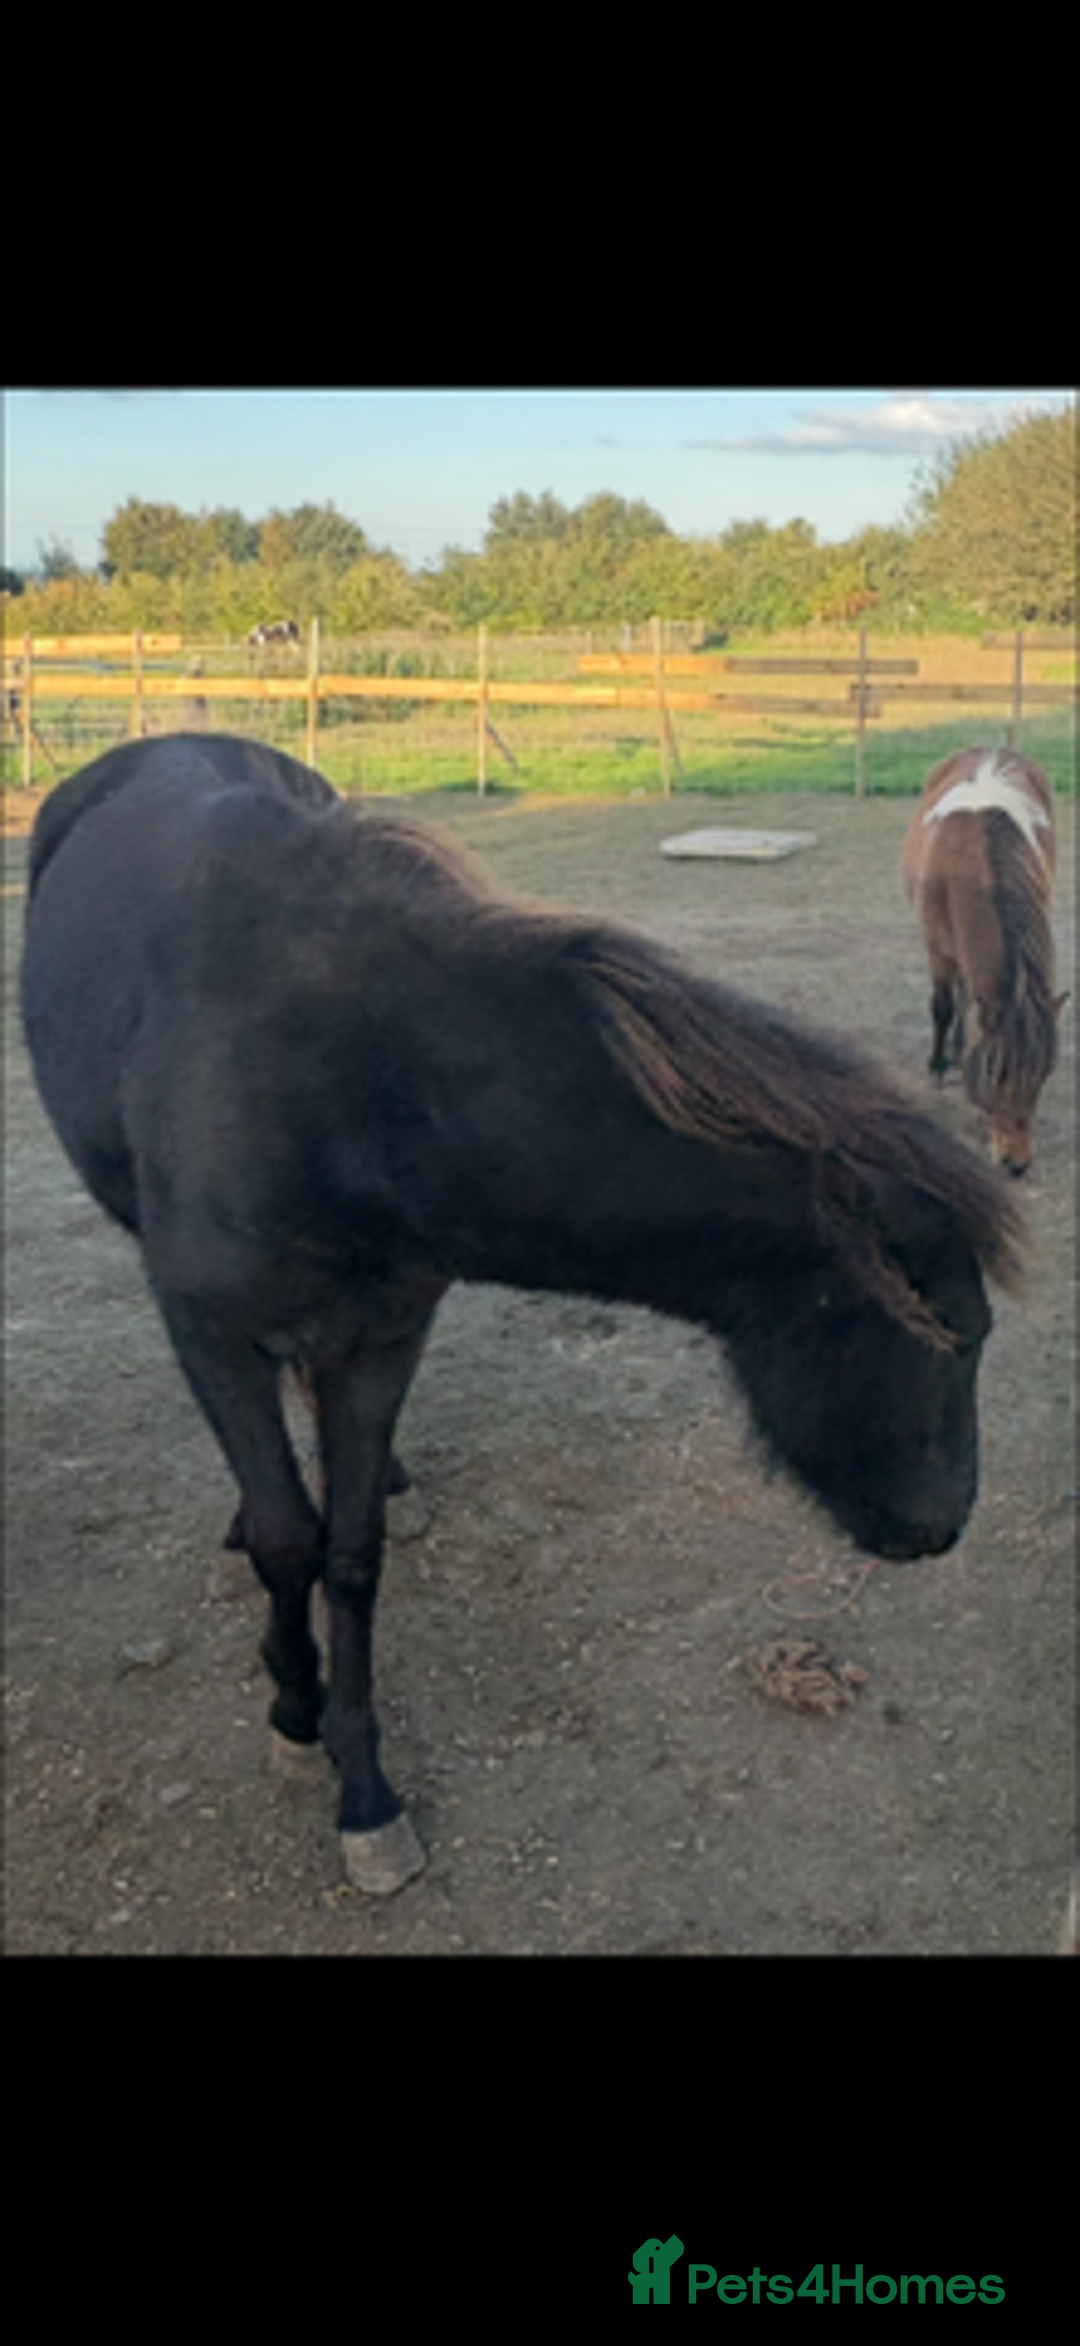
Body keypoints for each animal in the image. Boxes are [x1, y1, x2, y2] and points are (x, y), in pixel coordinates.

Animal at [21, 734, 1024, 1896]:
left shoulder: (385, 1335)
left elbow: (349, 1553)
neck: (343, 1081)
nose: (944, 1523)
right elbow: (285, 1543)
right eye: (946, 1334)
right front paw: (294, 1713)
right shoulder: (215, 1338)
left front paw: (365, 1789)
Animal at [902, 747, 1064, 1176]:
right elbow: (942, 1006)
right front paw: (938, 1067)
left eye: (1044, 1073)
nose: (1016, 1164)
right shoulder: (937, 949)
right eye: (994, 1070)